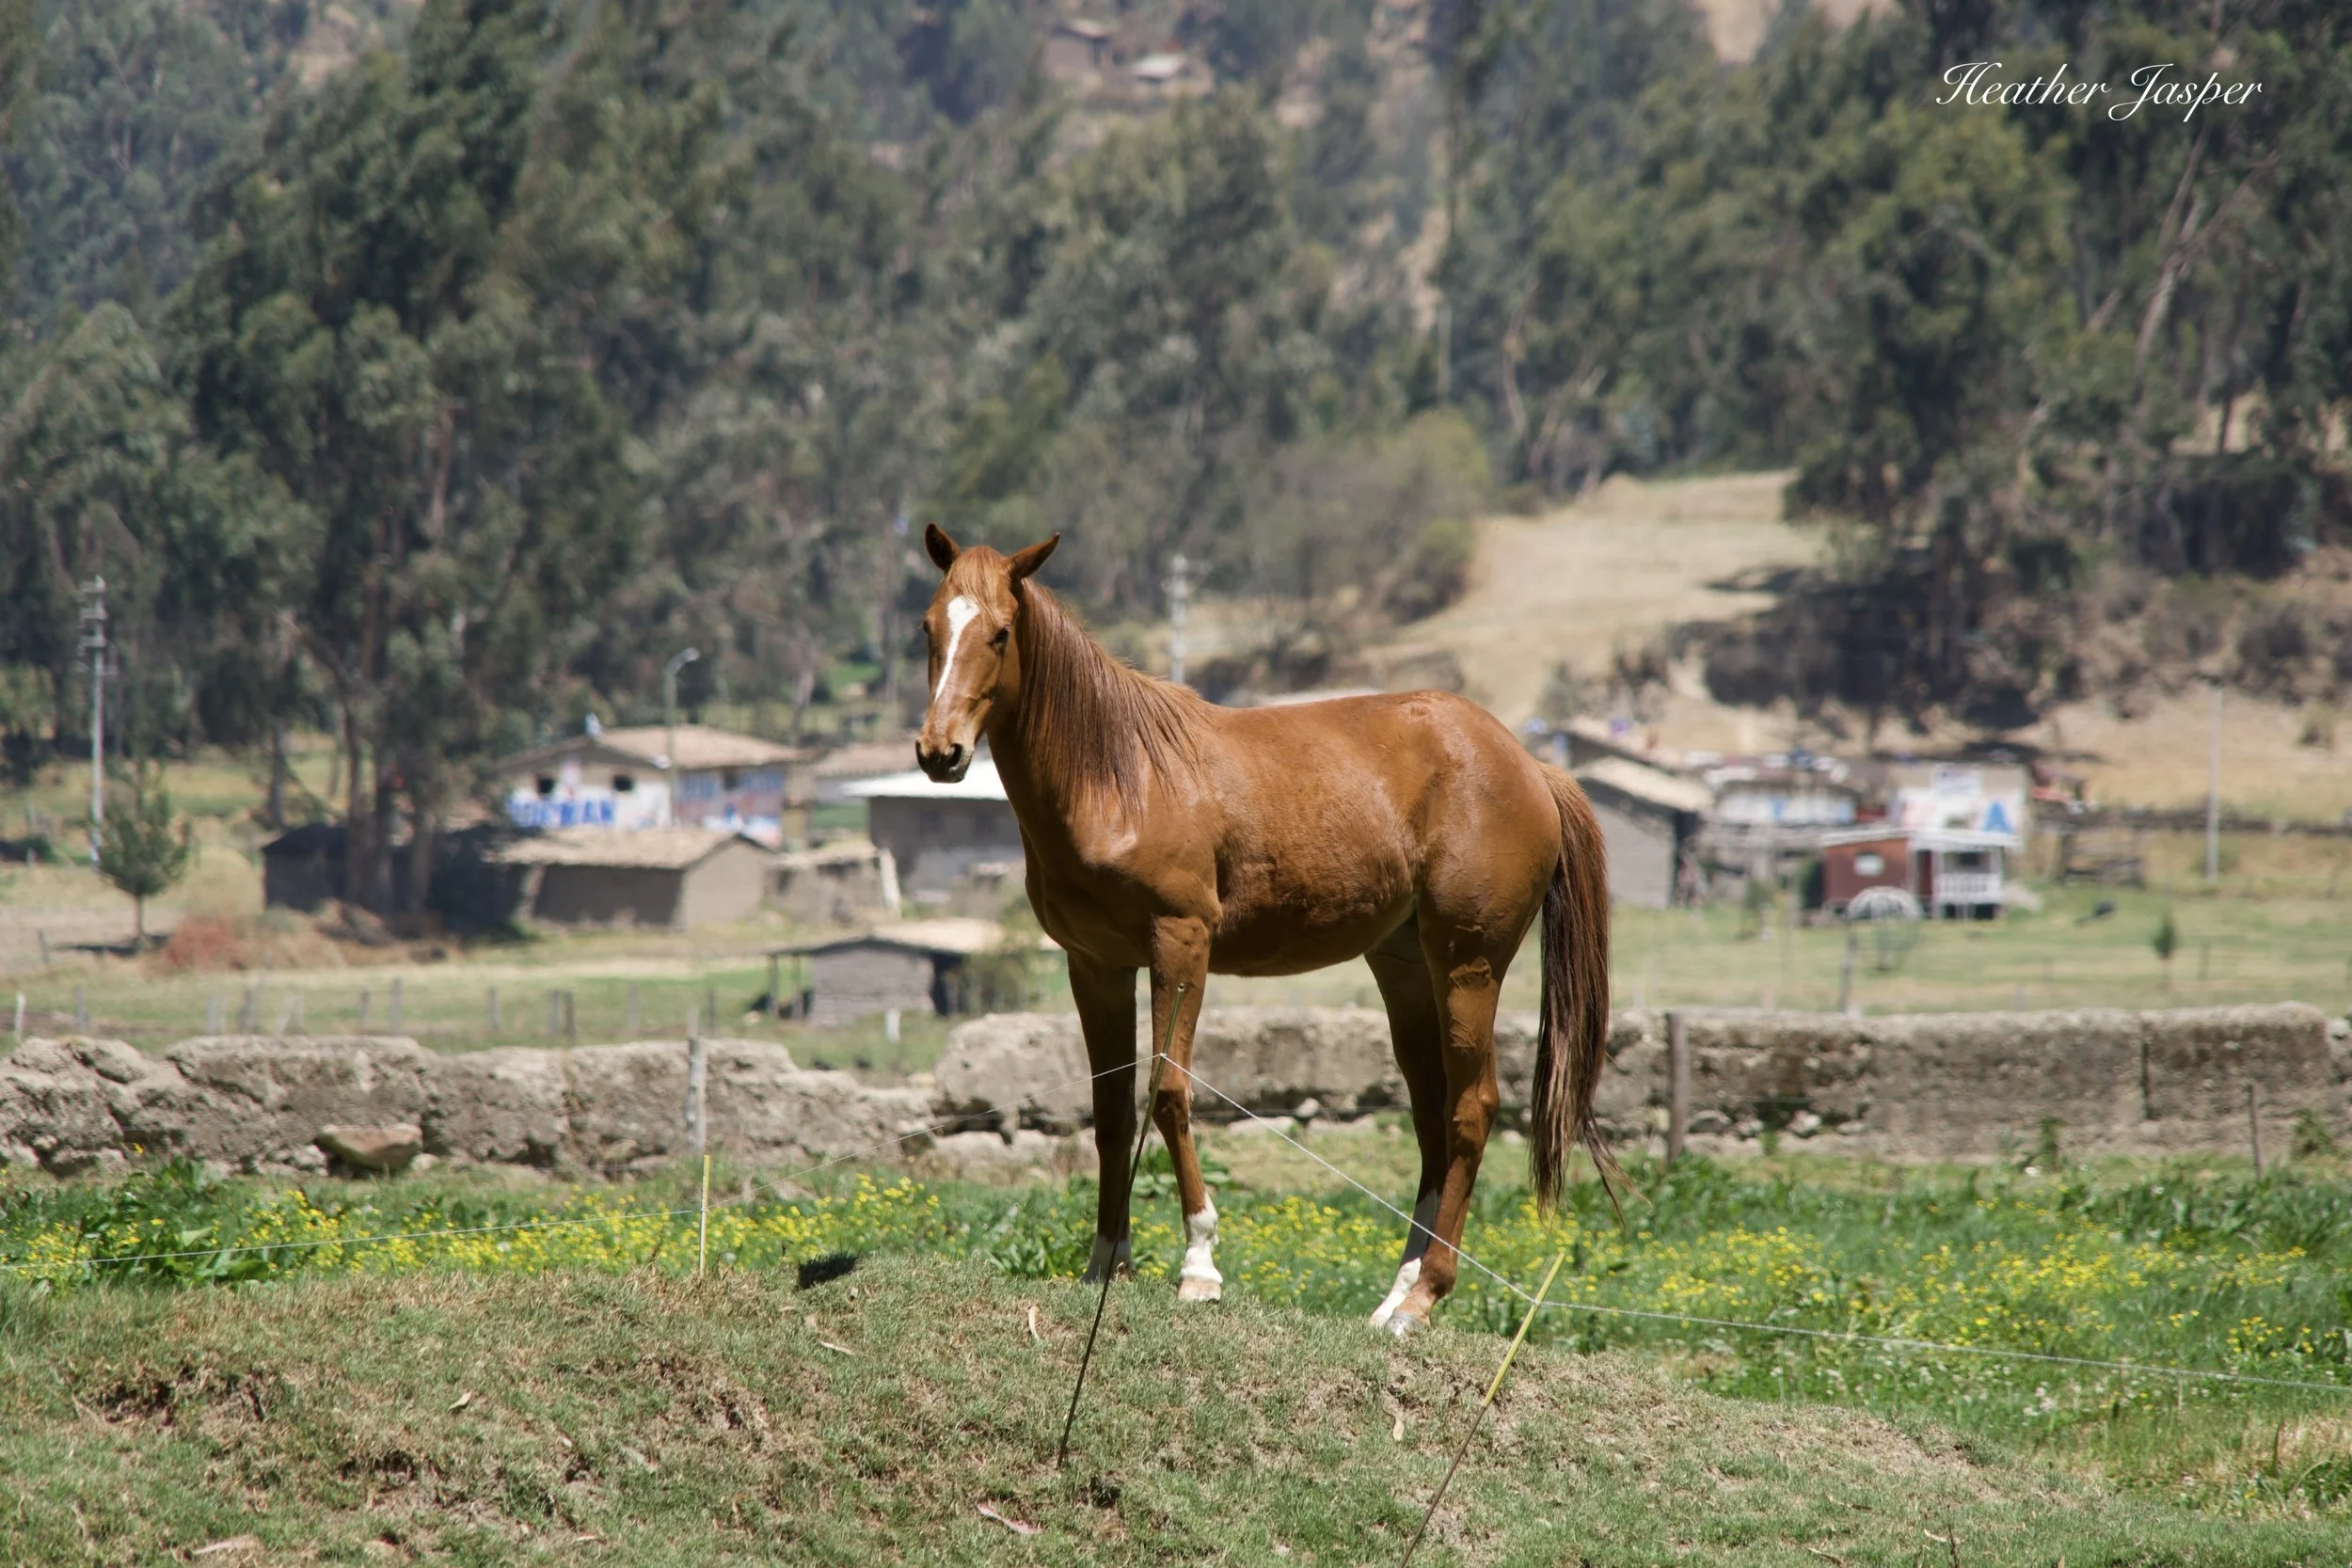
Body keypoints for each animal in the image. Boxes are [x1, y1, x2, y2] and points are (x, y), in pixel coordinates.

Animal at [912, 526, 1615, 1335]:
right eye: (929, 629)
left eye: (1000, 632)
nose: (939, 752)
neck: (1121, 776)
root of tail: (1530, 766)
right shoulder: (1095, 965)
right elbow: (1111, 1111)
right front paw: (1107, 1262)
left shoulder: (1182, 945)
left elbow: (1168, 1091)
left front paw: (1199, 1264)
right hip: (1407, 968)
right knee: (1433, 1118)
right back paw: (1395, 1292)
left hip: (1469, 965)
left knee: (1473, 1110)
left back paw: (1424, 1297)